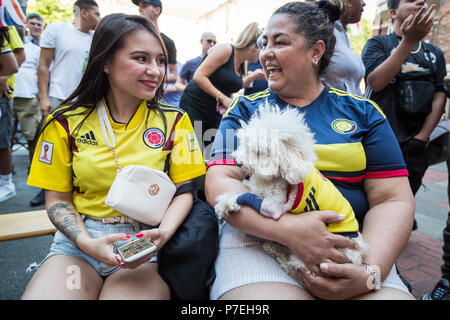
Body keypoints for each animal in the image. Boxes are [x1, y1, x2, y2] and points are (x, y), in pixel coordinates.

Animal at [215, 102, 370, 284]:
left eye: (259, 152)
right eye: (244, 144)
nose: (238, 162)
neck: (278, 176)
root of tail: (358, 255)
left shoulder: (272, 207)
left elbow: (248, 196)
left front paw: (226, 203)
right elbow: (249, 187)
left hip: (310, 258)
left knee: (295, 269)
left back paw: (275, 249)